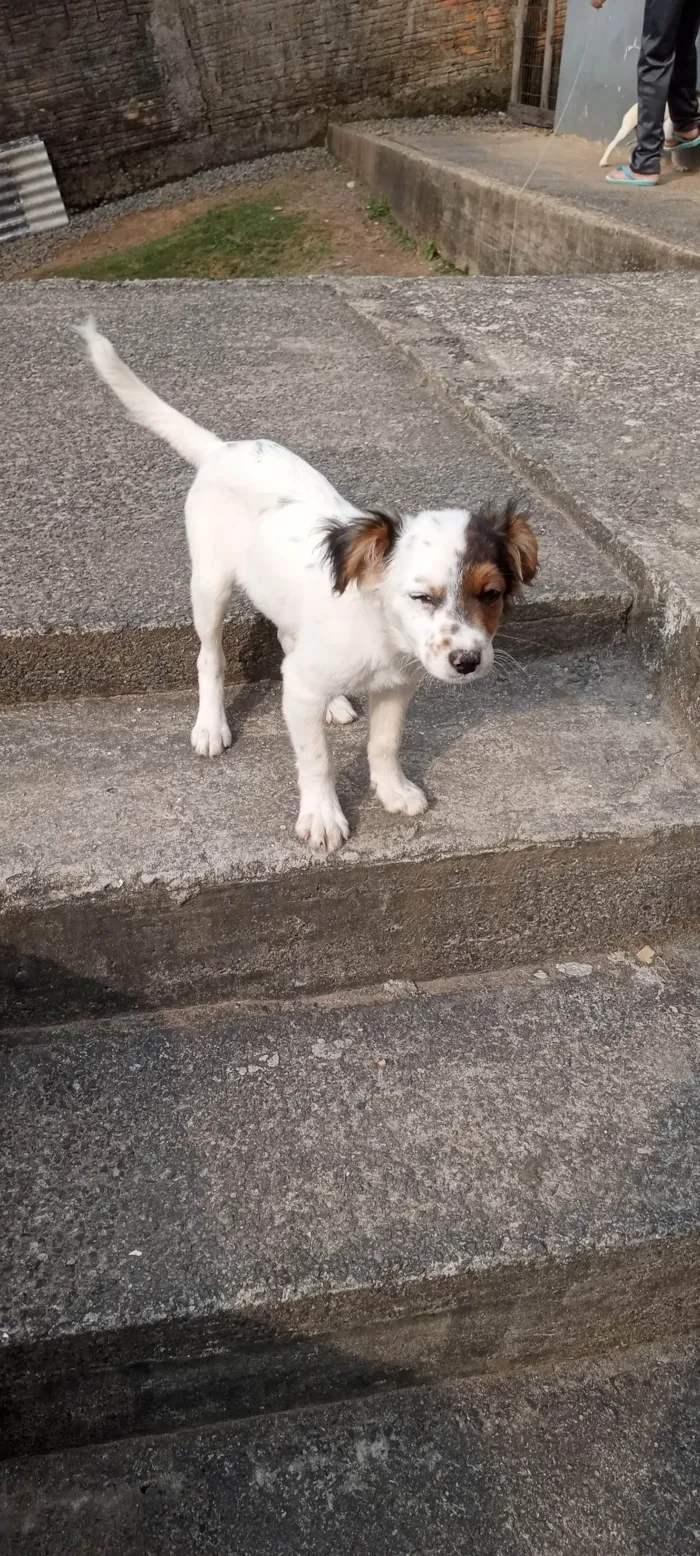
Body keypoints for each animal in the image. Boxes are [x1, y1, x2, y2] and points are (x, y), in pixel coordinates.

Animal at [79, 315, 538, 852]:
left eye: (491, 595)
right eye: (422, 597)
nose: (467, 662)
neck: (382, 634)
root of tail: (221, 449)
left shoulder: (398, 685)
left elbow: (385, 743)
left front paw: (393, 790)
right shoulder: (301, 690)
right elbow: (317, 759)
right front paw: (322, 816)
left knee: (286, 636)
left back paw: (334, 703)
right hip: (209, 584)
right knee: (210, 656)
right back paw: (211, 724)